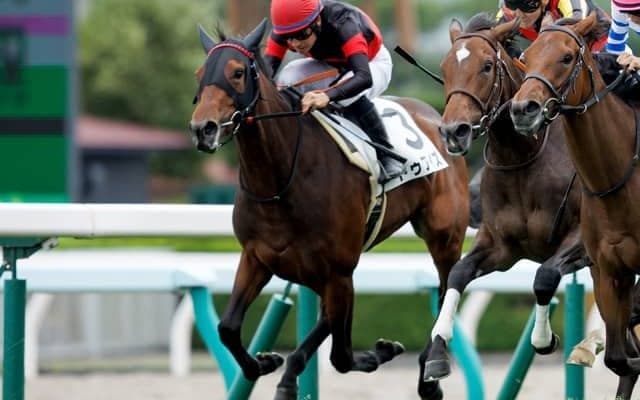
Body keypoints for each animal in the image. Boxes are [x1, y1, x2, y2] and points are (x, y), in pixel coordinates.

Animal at [189, 19, 469, 400]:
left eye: (237, 72)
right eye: (200, 73)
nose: (202, 129)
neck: (280, 182)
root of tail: (437, 117)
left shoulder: (338, 270)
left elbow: (342, 356)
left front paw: (381, 352)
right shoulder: (258, 256)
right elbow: (228, 327)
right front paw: (265, 362)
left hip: (443, 236)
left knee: (444, 290)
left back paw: (429, 372)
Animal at [419, 13, 591, 386]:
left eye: (486, 66)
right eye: (444, 67)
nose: (453, 131)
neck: (523, 157)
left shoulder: (583, 239)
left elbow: (544, 275)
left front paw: (544, 338)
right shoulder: (501, 246)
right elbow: (457, 274)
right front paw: (437, 354)